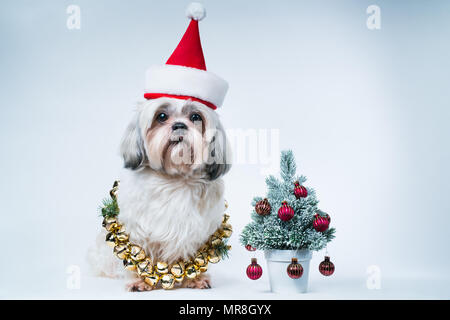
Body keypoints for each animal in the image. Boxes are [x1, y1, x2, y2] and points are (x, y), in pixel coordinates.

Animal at [87, 97, 232, 290]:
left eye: (195, 117)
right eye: (161, 116)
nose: (179, 125)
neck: (175, 179)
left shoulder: (198, 233)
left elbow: (195, 258)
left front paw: (195, 278)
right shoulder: (138, 231)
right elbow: (138, 257)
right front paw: (139, 280)